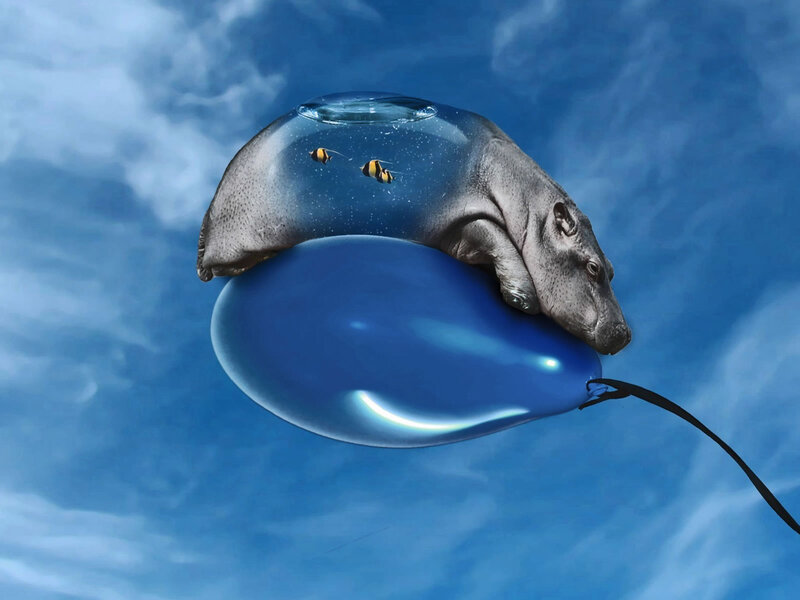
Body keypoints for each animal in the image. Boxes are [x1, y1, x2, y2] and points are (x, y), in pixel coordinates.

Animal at [197, 92, 631, 354]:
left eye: (612, 268)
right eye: (593, 267)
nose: (625, 334)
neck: (529, 209)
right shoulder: (463, 218)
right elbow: (496, 237)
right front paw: (523, 298)